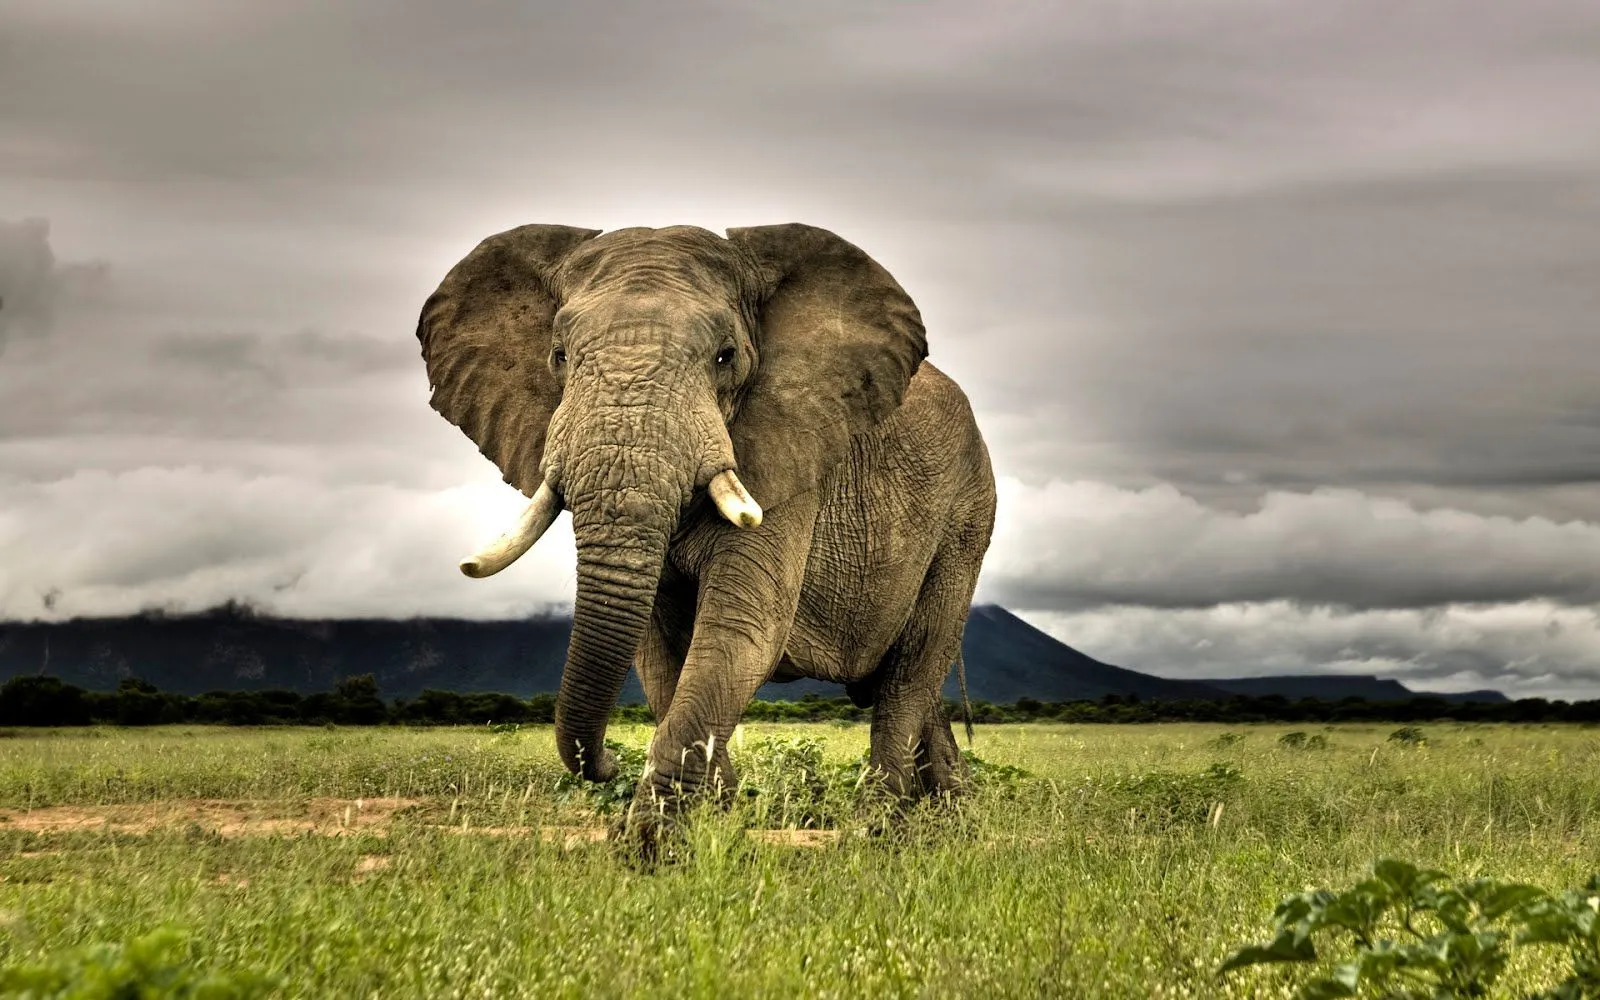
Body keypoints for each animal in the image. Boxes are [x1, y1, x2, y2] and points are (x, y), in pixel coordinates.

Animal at [416, 222, 996, 835]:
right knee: (913, 686)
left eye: (726, 356)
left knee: (911, 671)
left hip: (967, 514)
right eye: (558, 356)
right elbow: (658, 651)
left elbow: (740, 630)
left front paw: (652, 844)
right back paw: (949, 815)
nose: (606, 761)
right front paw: (717, 817)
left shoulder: (789, 457)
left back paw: (879, 831)